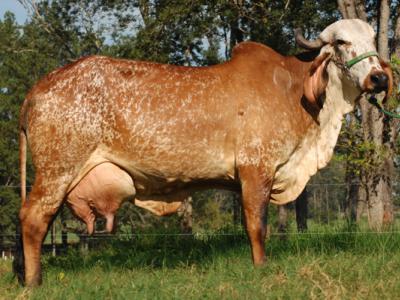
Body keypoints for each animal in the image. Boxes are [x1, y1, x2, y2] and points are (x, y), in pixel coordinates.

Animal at [14, 18, 390, 286]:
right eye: (341, 42)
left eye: (374, 41)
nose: (379, 78)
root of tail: (39, 88)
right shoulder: (256, 169)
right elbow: (257, 225)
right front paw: (261, 267)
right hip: (57, 169)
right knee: (33, 218)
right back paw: (34, 282)